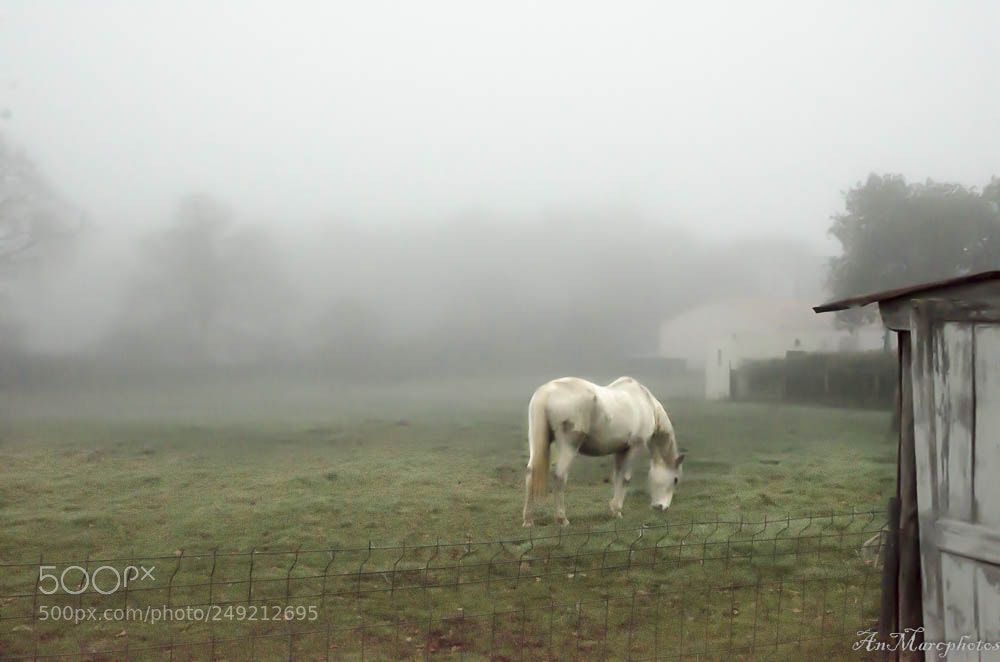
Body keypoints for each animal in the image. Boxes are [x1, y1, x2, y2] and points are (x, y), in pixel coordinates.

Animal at [522, 376, 685, 527]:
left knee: (531, 473)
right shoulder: (634, 447)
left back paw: (528, 520)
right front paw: (617, 510)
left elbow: (618, 477)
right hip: (569, 446)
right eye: (675, 479)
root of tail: (547, 392)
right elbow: (625, 478)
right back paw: (562, 519)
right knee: (559, 476)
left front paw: (615, 511)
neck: (646, 403)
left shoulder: (620, 450)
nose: (662, 507)